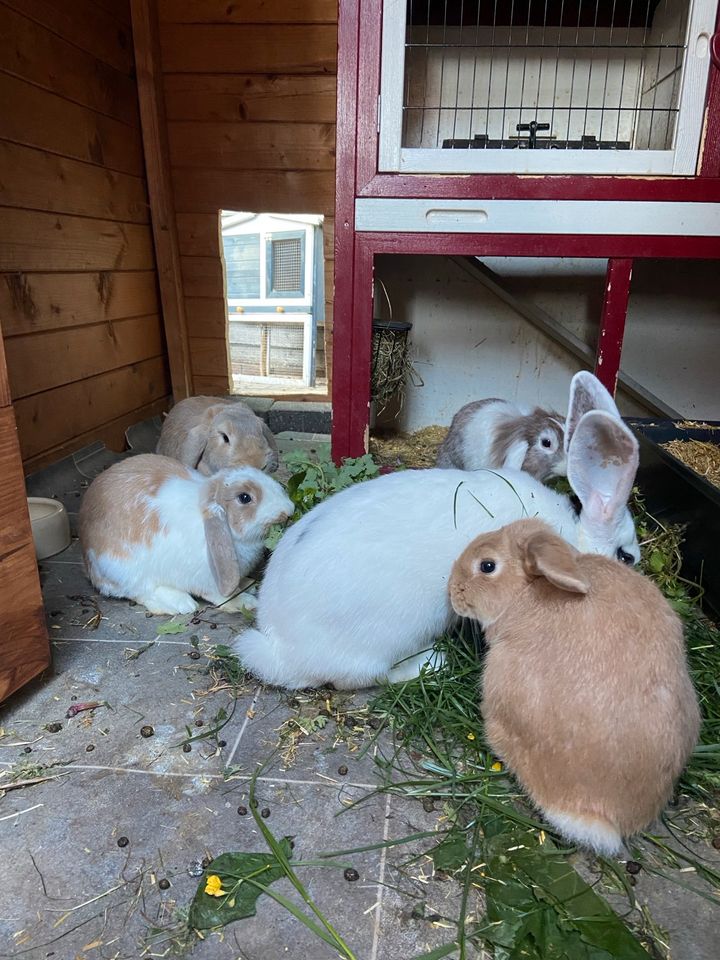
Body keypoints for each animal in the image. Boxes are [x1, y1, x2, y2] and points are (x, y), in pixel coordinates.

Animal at [79, 452, 292, 616]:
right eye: (245, 497)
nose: (288, 510)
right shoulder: (207, 579)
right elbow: (221, 595)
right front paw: (246, 602)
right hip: (121, 569)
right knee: (141, 591)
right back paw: (180, 604)